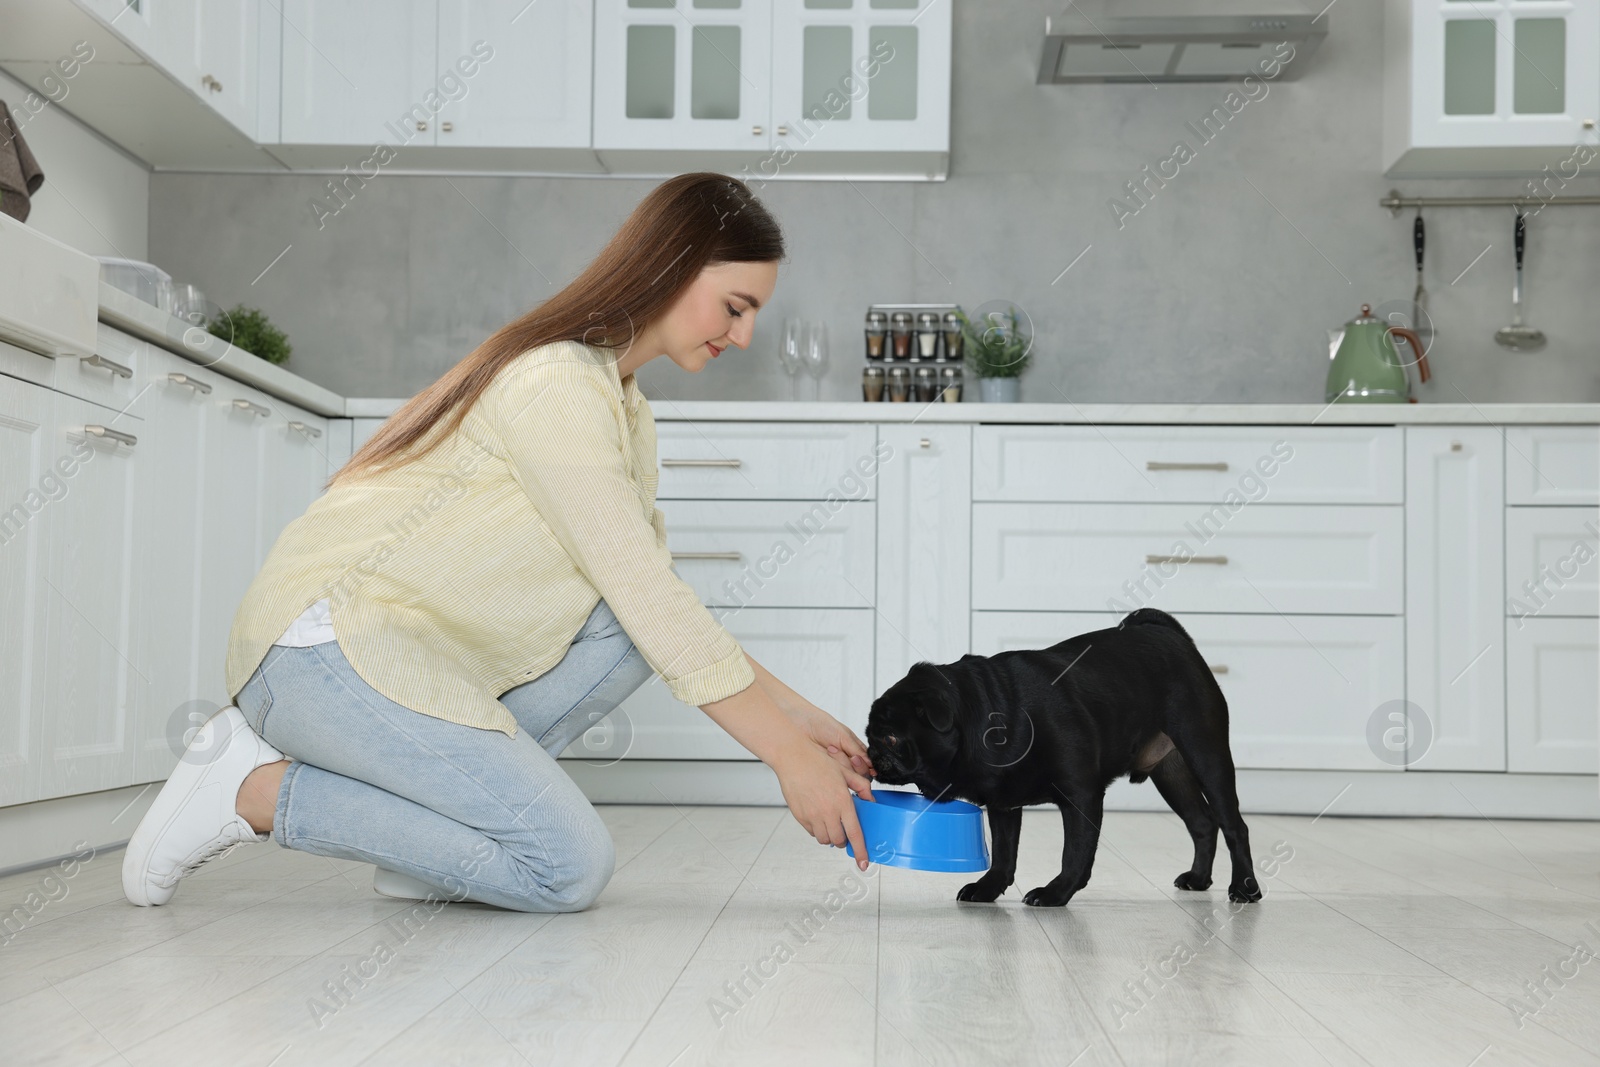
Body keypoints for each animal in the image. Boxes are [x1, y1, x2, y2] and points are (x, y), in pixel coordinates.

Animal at [864, 607, 1260, 908]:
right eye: (870, 733)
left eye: (891, 737)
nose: (871, 753)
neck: (991, 715)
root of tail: (1174, 638)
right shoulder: (1003, 804)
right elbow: (1004, 853)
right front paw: (988, 888)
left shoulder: (1081, 795)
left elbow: (1076, 851)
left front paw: (1056, 892)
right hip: (1171, 773)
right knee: (1202, 823)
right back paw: (1199, 879)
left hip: (1205, 753)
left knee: (1233, 825)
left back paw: (1245, 888)